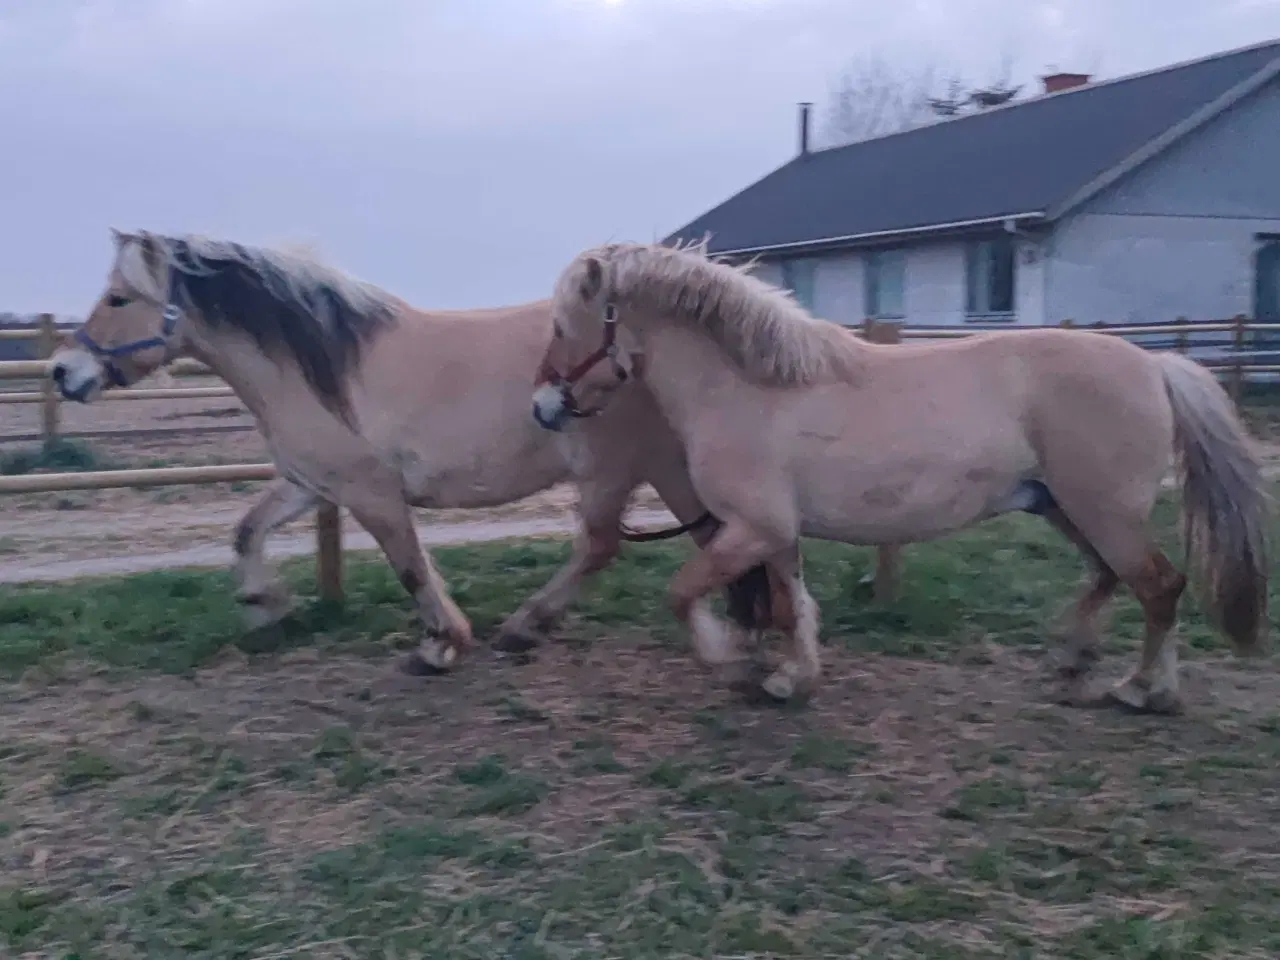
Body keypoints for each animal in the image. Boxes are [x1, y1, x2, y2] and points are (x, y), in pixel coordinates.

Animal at [49, 229, 775, 673]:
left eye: (119, 297)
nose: (63, 371)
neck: (322, 367)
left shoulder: (371, 492)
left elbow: (410, 567)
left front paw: (440, 645)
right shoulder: (312, 483)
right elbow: (247, 530)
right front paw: (265, 606)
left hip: (617, 470)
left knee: (605, 547)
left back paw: (527, 626)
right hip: (663, 470)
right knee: (714, 538)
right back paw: (748, 631)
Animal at [531, 240, 1271, 711]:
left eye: (565, 326)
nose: (542, 407)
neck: (747, 387)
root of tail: (1155, 366)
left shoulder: (751, 528)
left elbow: (684, 595)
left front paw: (734, 664)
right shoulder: (776, 533)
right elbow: (791, 605)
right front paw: (792, 679)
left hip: (1103, 511)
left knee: (1158, 586)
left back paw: (1144, 689)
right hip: (1064, 507)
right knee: (1113, 578)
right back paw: (1073, 657)